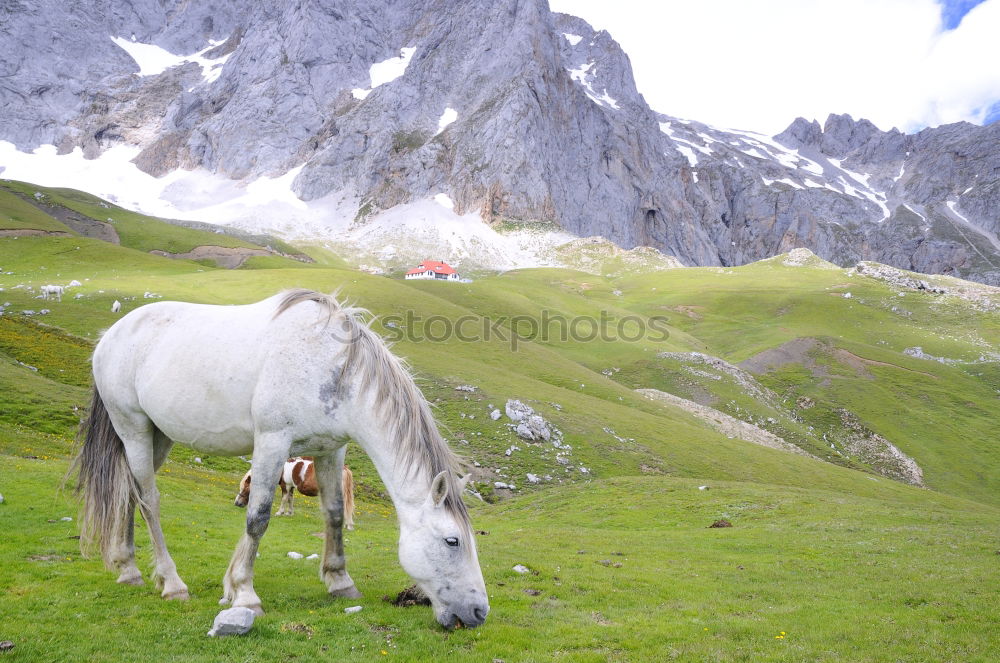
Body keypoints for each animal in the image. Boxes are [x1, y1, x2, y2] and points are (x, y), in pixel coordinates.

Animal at [72, 290, 490, 628]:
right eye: (453, 541)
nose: (479, 612)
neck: (330, 367)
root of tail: (111, 335)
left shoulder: (331, 450)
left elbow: (334, 513)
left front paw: (340, 582)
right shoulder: (272, 444)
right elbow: (257, 518)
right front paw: (244, 593)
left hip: (157, 437)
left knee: (128, 492)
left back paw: (128, 569)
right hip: (134, 429)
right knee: (149, 501)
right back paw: (172, 584)